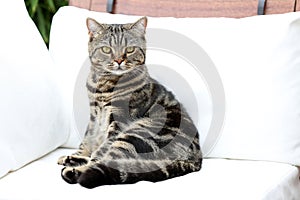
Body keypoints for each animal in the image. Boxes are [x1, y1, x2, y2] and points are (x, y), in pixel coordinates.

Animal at [56, 16, 202, 188]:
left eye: (130, 49)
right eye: (106, 49)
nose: (119, 60)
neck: (104, 84)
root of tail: (196, 160)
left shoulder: (119, 120)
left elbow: (101, 150)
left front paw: (81, 162)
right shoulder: (94, 115)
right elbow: (88, 139)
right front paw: (78, 154)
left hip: (134, 134)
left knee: (111, 161)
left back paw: (75, 171)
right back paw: (72, 160)